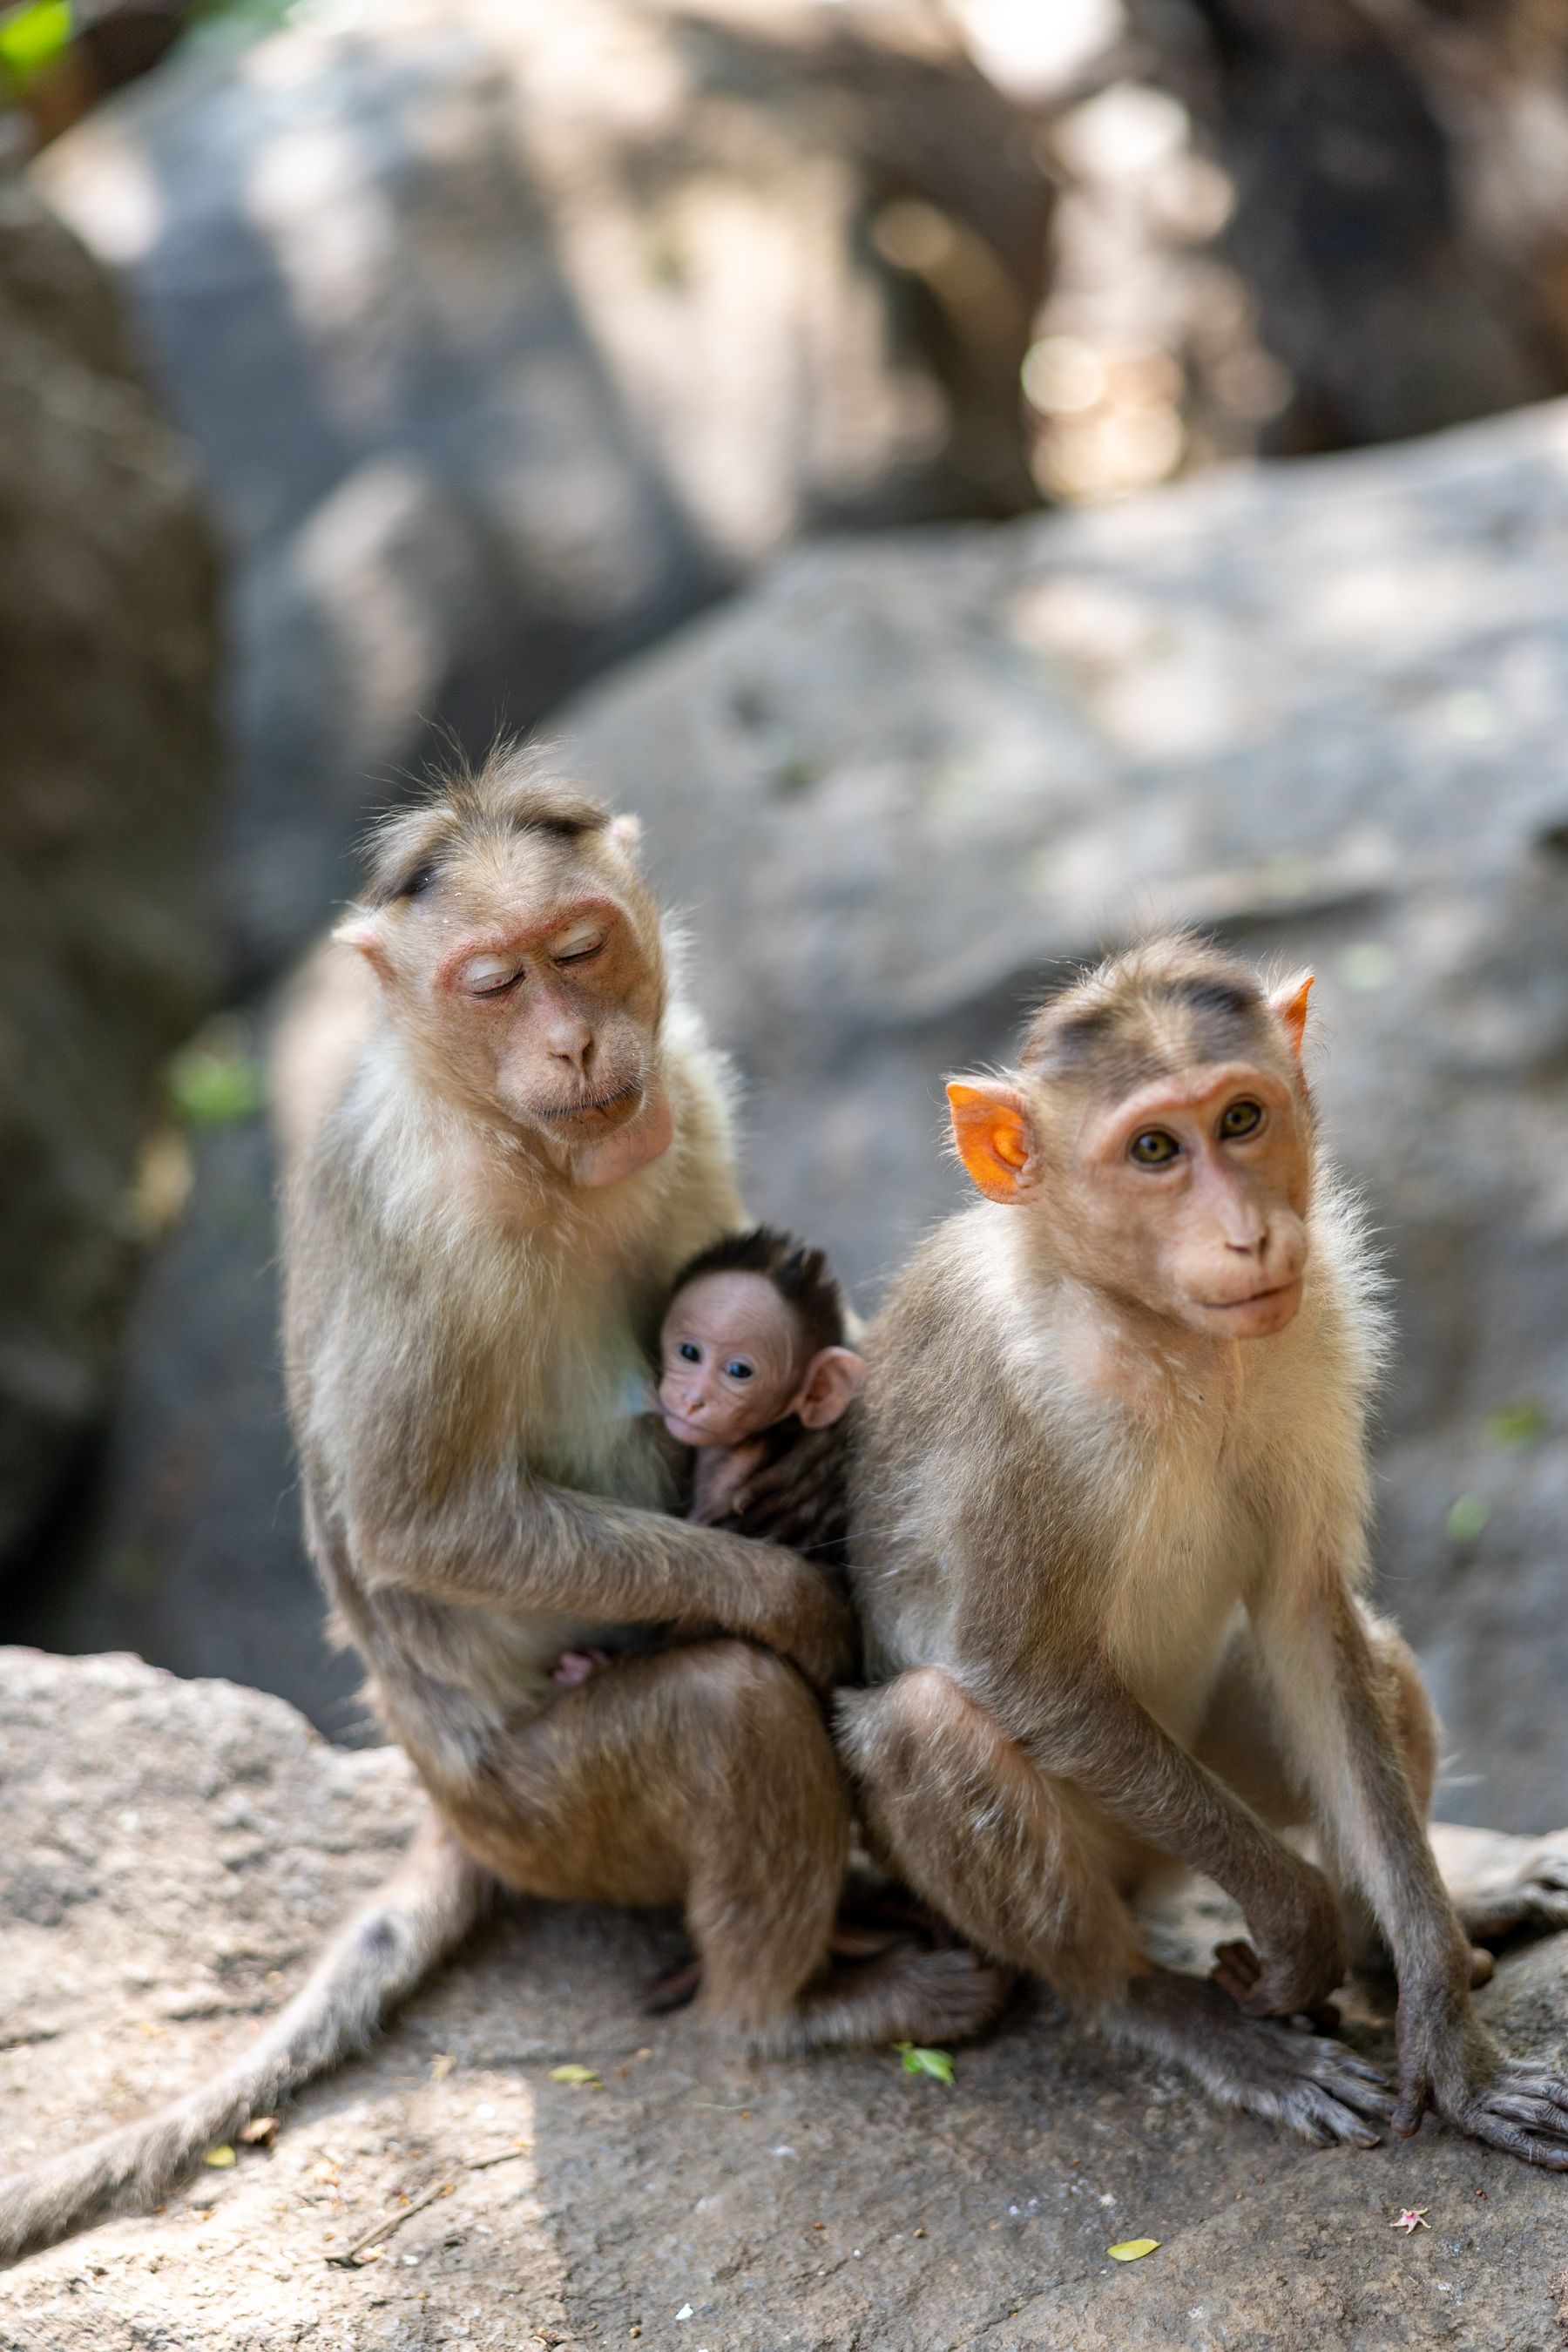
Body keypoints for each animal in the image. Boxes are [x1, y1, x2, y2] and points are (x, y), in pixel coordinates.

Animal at [837, 935, 1568, 2164]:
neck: (1159, 1331)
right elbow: (1018, 1664)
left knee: (1369, 1655)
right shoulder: (1001, 1407)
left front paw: (1449, 2041)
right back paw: (1175, 2007)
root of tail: (1150, 1880)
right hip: (1106, 1845)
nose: (1251, 1233)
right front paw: (1293, 1930)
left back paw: (1396, 1941)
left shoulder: (1319, 1323)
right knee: (932, 1731)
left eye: (1239, 1119)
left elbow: (1309, 1620)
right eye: (1153, 1150)